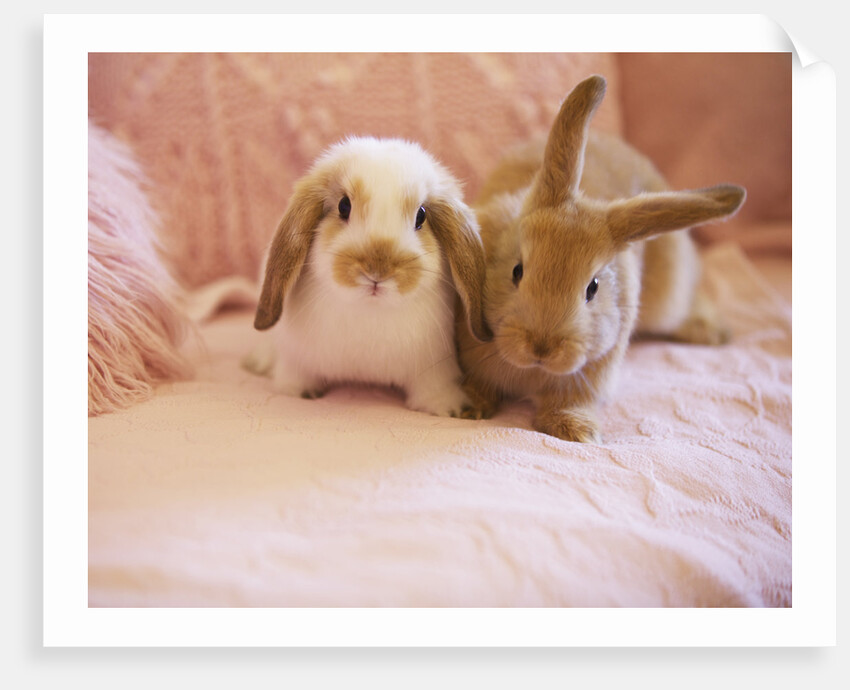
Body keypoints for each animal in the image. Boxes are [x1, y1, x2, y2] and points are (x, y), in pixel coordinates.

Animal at [244, 136, 493, 417]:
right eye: (344, 206)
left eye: (422, 215)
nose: (377, 270)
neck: (370, 309)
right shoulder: (296, 359)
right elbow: (294, 378)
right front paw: (299, 392)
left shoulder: (434, 369)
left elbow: (434, 390)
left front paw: (449, 408)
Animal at [456, 75, 746, 443]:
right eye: (517, 271)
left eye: (592, 288)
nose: (541, 348)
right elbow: (480, 384)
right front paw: (470, 407)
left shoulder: (588, 376)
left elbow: (569, 402)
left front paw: (575, 431)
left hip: (667, 298)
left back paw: (712, 331)